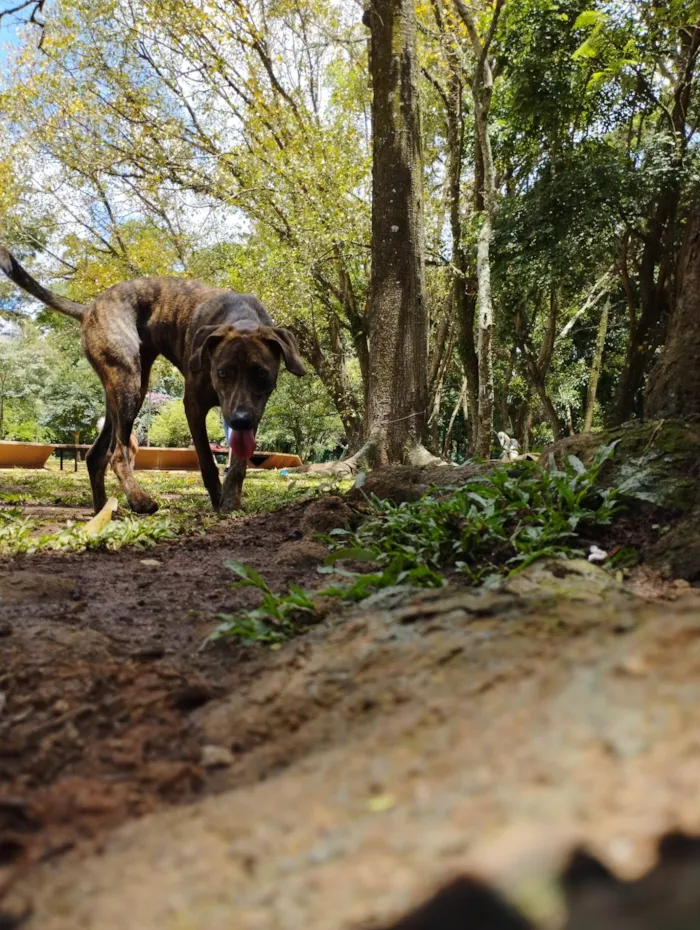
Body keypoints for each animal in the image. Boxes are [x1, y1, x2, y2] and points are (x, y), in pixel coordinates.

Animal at [0, 246, 306, 516]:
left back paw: (103, 509)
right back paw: (139, 501)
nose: (240, 420)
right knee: (118, 455)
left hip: (120, 390)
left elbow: (239, 463)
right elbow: (207, 462)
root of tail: (89, 308)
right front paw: (218, 499)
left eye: (261, 373)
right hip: (129, 385)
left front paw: (231, 499)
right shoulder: (193, 405)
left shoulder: (249, 412)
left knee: (95, 455)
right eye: (222, 373)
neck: (240, 318)